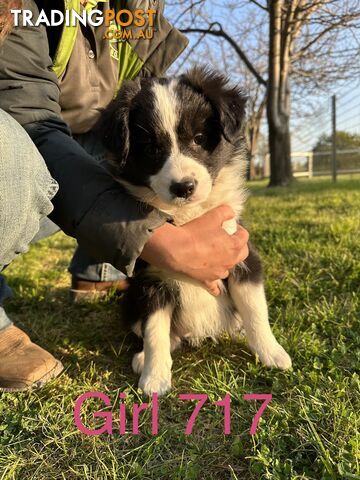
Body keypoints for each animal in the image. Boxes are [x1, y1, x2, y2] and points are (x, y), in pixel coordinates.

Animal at [97, 68, 292, 398]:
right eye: (151, 149)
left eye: (199, 139)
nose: (184, 187)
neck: (188, 217)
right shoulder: (150, 281)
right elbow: (154, 331)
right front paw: (154, 378)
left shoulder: (242, 256)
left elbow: (255, 311)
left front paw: (273, 353)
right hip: (130, 300)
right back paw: (143, 357)